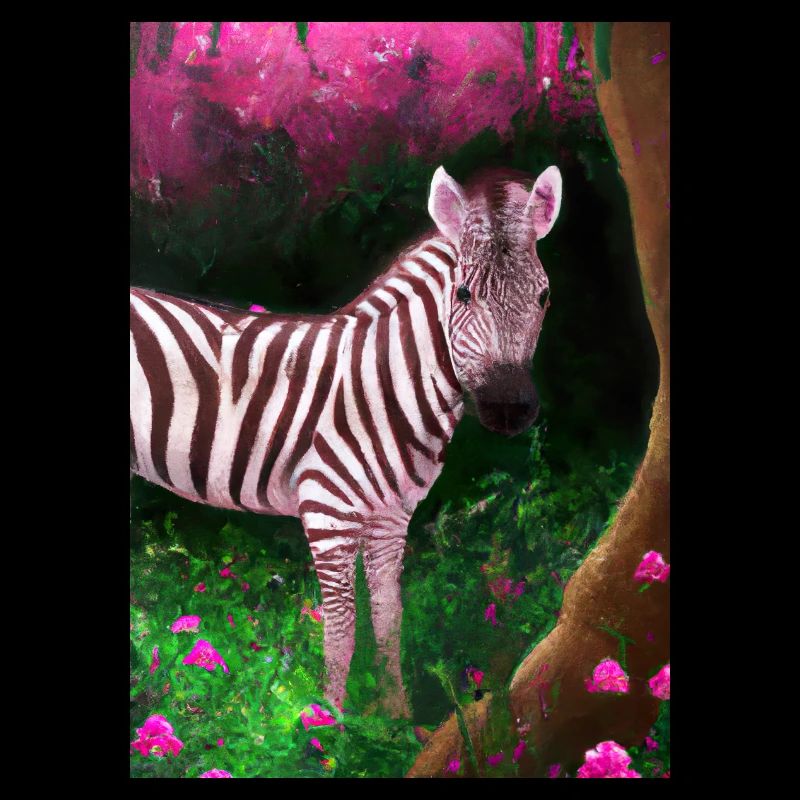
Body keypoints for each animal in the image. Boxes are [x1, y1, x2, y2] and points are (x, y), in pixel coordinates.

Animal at [130, 164, 562, 718]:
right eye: (463, 294)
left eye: (544, 297)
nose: (510, 410)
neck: (388, 384)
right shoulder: (327, 514)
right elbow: (340, 627)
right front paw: (329, 724)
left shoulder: (391, 519)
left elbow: (389, 619)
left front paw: (397, 719)